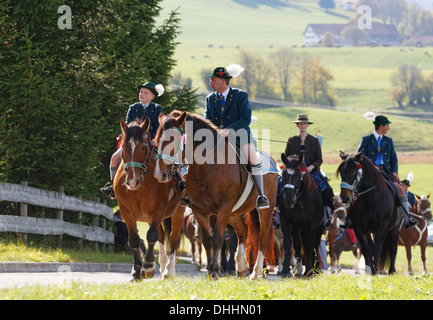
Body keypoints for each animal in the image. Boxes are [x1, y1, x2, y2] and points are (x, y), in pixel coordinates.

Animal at [113, 117, 182, 280]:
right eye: (123, 147)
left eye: (144, 147)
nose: (132, 182)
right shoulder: (126, 212)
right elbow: (134, 239)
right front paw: (136, 270)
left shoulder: (158, 209)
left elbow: (151, 236)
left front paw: (148, 267)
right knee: (162, 238)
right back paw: (162, 266)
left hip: (177, 213)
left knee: (174, 239)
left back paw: (169, 271)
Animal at [154, 111, 278, 278]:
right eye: (156, 139)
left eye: (172, 139)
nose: (159, 174)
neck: (208, 167)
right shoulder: (200, 211)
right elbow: (207, 240)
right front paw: (210, 270)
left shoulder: (223, 209)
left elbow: (217, 238)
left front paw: (214, 271)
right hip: (233, 213)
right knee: (243, 232)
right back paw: (242, 268)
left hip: (265, 210)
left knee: (262, 238)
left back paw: (255, 273)